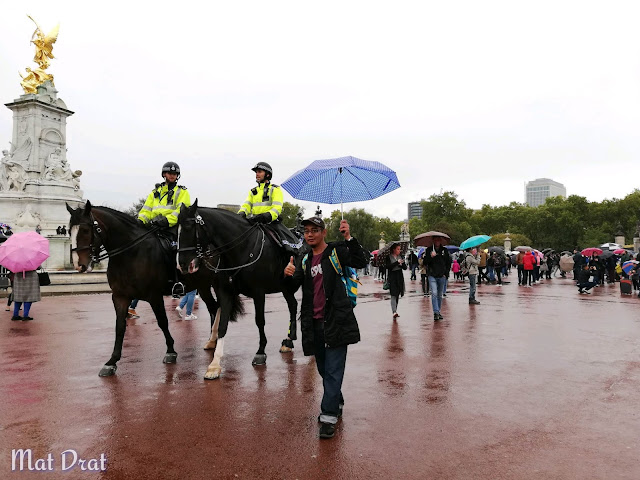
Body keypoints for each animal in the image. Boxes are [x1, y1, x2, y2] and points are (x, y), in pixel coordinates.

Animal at [66, 201, 219, 376]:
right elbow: (120, 327)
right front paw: (112, 361)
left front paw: (171, 351)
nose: (79, 265)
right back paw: (212, 339)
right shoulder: (120, 296)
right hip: (203, 286)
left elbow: (162, 322)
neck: (130, 253)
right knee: (213, 308)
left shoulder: (154, 296)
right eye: (69, 230)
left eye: (85, 230)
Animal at [176, 200, 302, 378]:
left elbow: (259, 320)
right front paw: (214, 365)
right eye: (176, 229)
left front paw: (261, 351)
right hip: (285, 288)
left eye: (189, 227)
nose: (183, 265)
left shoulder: (258, 292)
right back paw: (289, 341)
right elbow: (222, 324)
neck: (242, 248)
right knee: (293, 305)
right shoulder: (225, 291)